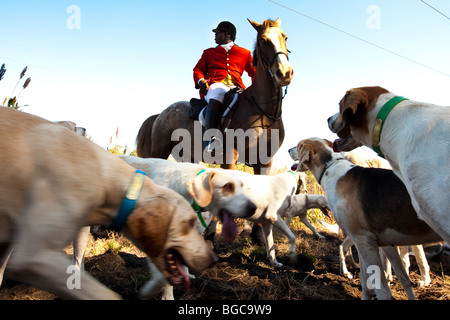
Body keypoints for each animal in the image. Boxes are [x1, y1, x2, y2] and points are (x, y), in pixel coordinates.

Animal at [135, 18, 294, 175]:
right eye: (263, 40)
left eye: (285, 37)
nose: (284, 73)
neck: (264, 113)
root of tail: (160, 114)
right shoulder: (230, 157)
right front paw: (202, 83)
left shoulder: (264, 162)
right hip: (159, 152)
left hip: (187, 157)